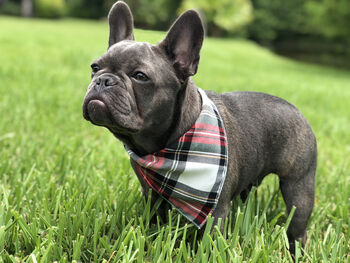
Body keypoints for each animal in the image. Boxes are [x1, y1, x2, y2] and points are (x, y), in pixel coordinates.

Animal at [82, 1, 318, 255]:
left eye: (140, 76)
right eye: (94, 67)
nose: (103, 80)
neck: (166, 147)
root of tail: (298, 111)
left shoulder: (215, 210)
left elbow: (210, 239)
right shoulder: (151, 193)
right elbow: (153, 220)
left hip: (299, 186)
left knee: (298, 223)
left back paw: (296, 249)